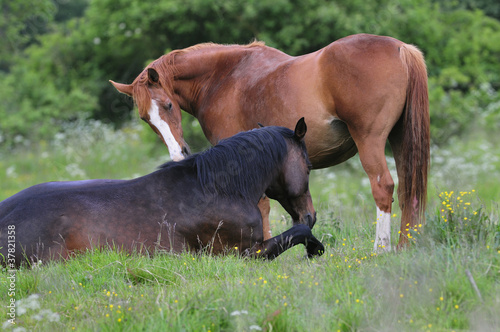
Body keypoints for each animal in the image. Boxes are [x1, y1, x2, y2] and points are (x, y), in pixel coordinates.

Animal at [0, 118, 324, 268]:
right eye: (308, 166)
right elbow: (297, 232)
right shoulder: (245, 253)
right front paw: (315, 249)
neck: (216, 188)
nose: (311, 214)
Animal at [111, 34, 432, 252]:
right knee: (408, 191)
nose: (179, 154)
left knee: (383, 187)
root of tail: (400, 48)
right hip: (400, 139)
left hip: (370, 140)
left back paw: (381, 248)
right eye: (145, 118)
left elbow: (261, 205)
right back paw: (405, 245)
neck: (222, 77)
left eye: (168, 105)